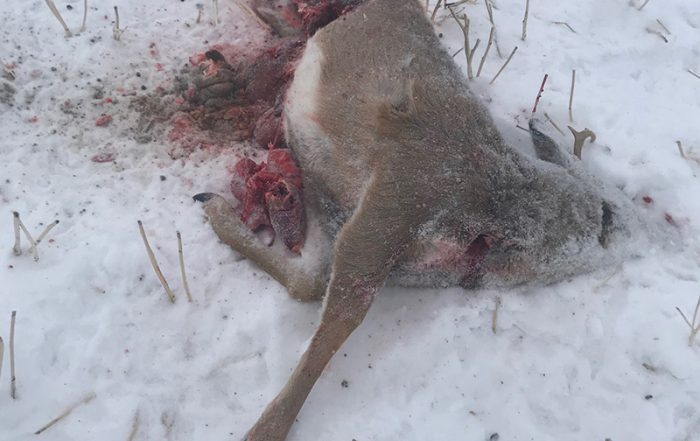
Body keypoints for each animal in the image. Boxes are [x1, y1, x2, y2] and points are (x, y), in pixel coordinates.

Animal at [190, 0, 653, 439]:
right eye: (609, 213)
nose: (651, 236)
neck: (491, 223)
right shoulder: (400, 196)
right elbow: (341, 320)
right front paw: (265, 430)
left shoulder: (340, 213)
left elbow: (308, 282)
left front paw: (215, 209)